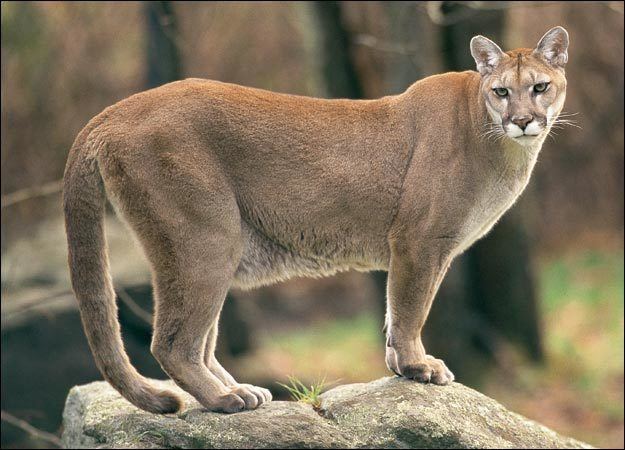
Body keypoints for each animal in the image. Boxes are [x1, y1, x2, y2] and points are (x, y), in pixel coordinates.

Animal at [63, 27, 572, 414]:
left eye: (539, 87)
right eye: (501, 91)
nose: (523, 120)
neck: (499, 143)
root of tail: (114, 111)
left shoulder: (421, 250)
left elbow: (394, 310)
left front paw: (400, 365)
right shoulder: (420, 243)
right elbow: (411, 308)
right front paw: (419, 367)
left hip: (210, 249)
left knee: (199, 340)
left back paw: (241, 389)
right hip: (206, 240)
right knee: (171, 342)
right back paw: (224, 400)